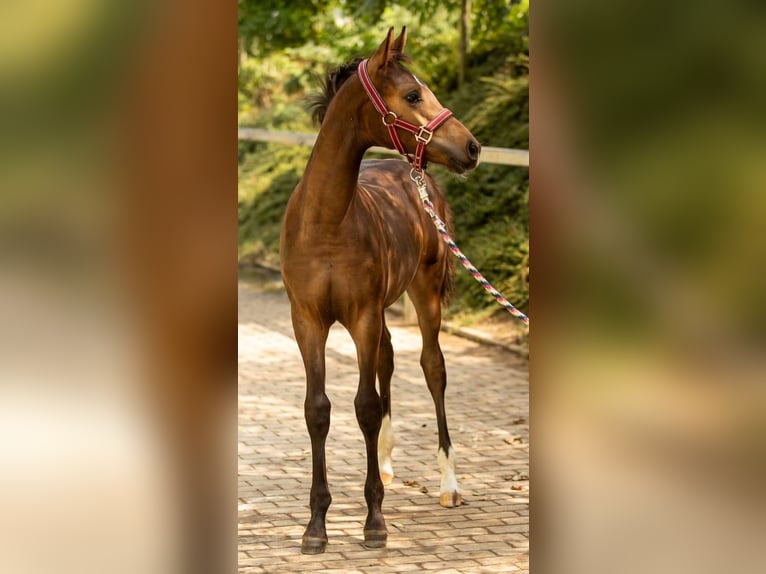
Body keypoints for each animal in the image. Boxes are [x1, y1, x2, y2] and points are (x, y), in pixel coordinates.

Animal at [279, 27, 481, 554]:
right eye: (411, 95)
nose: (473, 147)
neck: (326, 222)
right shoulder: (307, 320)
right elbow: (318, 410)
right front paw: (315, 526)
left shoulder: (362, 316)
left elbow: (365, 407)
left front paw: (374, 522)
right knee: (389, 360)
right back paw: (387, 466)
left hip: (423, 295)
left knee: (432, 369)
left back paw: (449, 484)